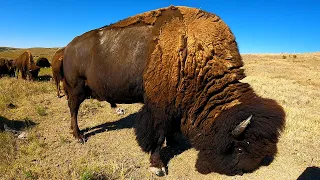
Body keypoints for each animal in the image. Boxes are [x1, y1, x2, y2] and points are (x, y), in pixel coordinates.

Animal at [62, 5, 284, 176]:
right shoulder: (159, 108)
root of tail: (67, 48)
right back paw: (79, 136)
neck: (193, 53)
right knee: (73, 110)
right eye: (239, 147)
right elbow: (157, 136)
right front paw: (158, 167)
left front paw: (175, 141)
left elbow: (170, 129)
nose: (240, 171)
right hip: (76, 89)